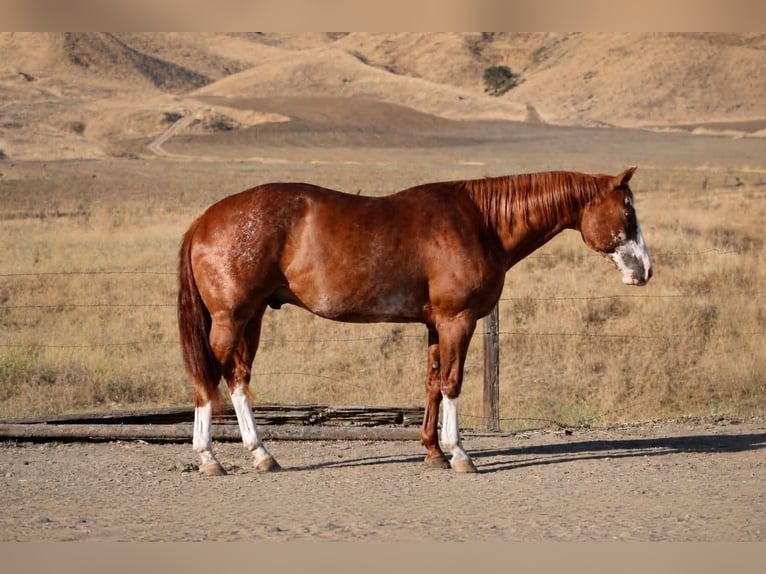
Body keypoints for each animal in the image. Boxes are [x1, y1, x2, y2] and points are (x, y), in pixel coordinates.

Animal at [177, 167, 653, 475]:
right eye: (628, 212)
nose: (646, 270)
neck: (481, 222)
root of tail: (204, 220)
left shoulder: (434, 325)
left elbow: (432, 384)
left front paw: (433, 452)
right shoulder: (458, 320)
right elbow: (453, 383)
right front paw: (459, 454)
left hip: (252, 317)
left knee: (236, 376)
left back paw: (250, 454)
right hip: (232, 318)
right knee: (214, 377)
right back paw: (217, 456)